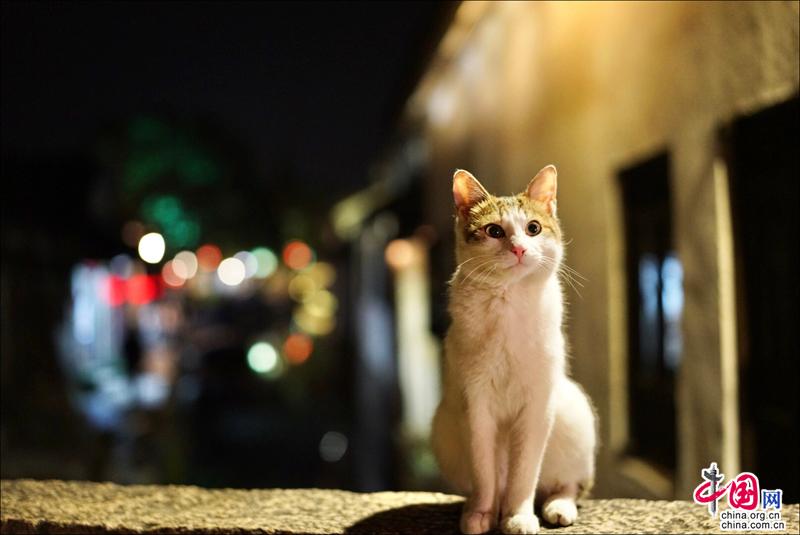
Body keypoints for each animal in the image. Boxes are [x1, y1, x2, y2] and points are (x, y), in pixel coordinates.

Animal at [432, 166, 592, 535]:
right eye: (494, 231)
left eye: (533, 228)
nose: (519, 249)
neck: (508, 299)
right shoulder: (475, 404)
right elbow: (484, 472)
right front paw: (482, 514)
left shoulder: (537, 406)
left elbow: (524, 474)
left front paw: (518, 516)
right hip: (444, 427)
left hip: (573, 413)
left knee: (566, 485)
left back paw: (558, 507)